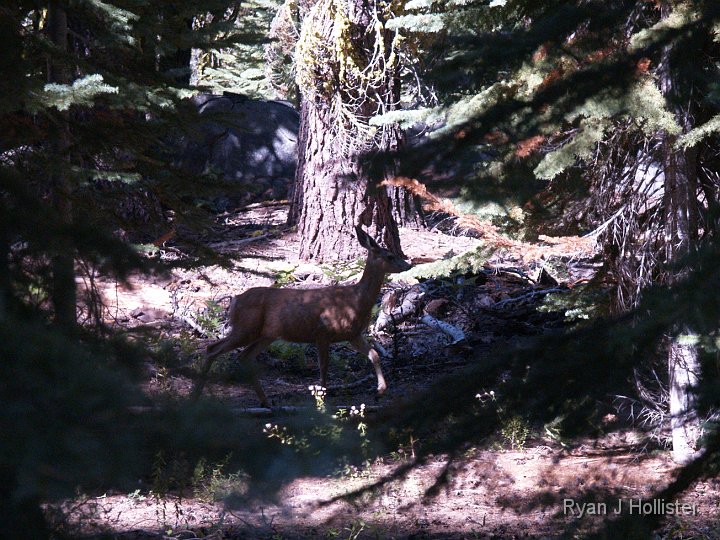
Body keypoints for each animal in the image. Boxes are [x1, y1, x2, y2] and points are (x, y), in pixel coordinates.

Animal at [191, 226, 412, 407]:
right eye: (390, 256)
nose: (408, 265)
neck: (356, 300)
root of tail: (235, 300)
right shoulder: (323, 332)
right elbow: (324, 367)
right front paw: (322, 399)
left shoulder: (353, 335)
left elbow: (374, 354)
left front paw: (380, 391)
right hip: (245, 328)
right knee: (213, 349)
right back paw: (197, 395)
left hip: (265, 335)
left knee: (244, 356)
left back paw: (266, 402)